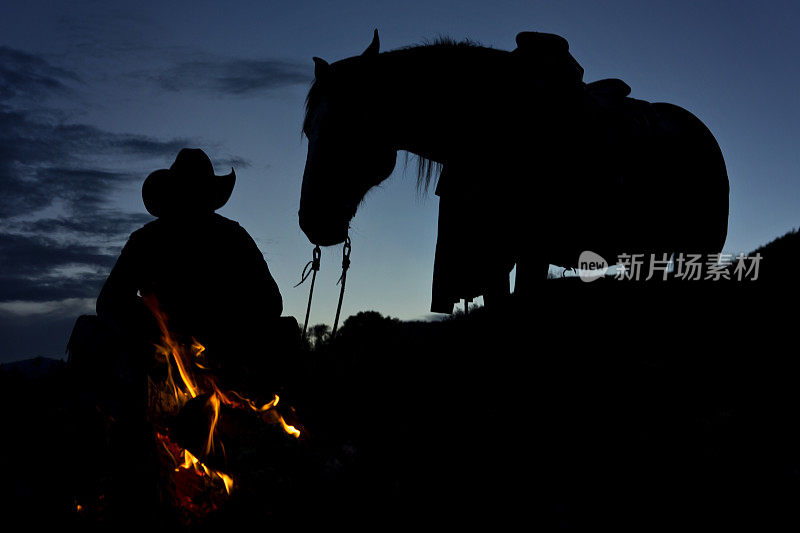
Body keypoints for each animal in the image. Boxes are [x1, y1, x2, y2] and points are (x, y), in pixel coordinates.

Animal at [296, 30, 728, 312]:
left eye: (351, 125)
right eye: (308, 130)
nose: (312, 221)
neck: (498, 123)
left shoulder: (531, 253)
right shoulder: (490, 256)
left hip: (700, 253)